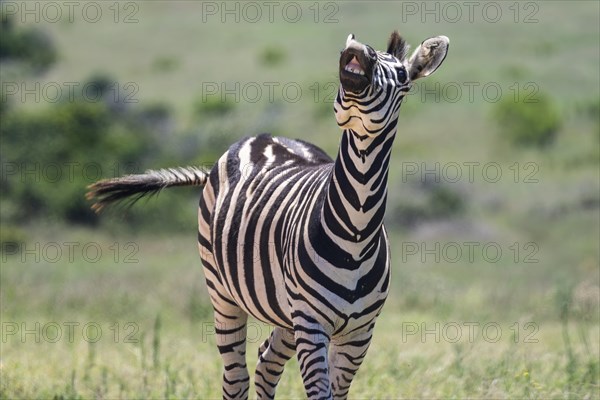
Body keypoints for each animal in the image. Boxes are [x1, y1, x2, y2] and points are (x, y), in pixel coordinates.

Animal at [86, 32, 448, 400]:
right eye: (354, 50)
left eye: (402, 77)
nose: (357, 49)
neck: (356, 233)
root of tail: (263, 137)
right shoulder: (311, 323)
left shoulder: (359, 333)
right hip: (222, 291)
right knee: (236, 377)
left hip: (285, 313)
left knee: (265, 363)